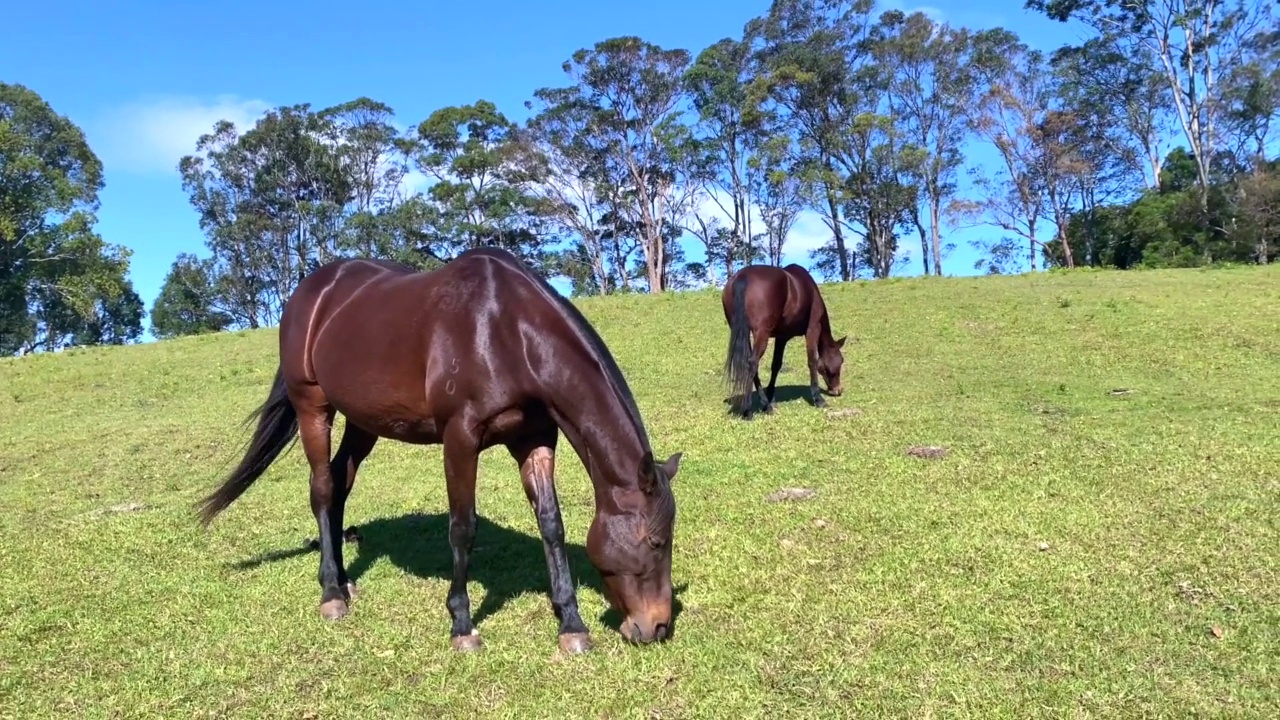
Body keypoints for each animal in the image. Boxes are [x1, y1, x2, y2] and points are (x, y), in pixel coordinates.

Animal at [192, 244, 680, 650]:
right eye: (656, 542)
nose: (656, 626)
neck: (505, 331)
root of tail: (309, 293)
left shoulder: (534, 439)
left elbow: (551, 525)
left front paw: (571, 625)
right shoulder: (460, 438)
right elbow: (462, 528)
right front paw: (462, 625)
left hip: (364, 421)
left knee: (341, 481)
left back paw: (346, 580)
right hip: (313, 406)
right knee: (323, 488)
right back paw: (331, 593)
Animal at [727, 262, 844, 417]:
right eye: (841, 361)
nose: (837, 390)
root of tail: (743, 276)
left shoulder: (781, 337)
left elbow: (776, 365)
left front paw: (771, 396)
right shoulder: (813, 329)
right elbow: (812, 361)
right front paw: (818, 398)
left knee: (751, 364)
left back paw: (766, 405)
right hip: (761, 334)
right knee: (752, 363)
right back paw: (748, 410)